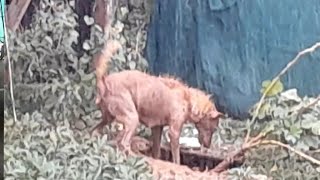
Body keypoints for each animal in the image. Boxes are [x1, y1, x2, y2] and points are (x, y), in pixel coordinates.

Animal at [92, 40, 222, 165]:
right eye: (213, 129)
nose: (208, 146)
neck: (188, 100)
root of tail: (104, 80)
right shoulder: (174, 132)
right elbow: (176, 158)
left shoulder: (157, 128)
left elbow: (156, 152)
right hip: (132, 119)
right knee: (123, 143)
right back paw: (137, 158)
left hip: (108, 119)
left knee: (95, 132)